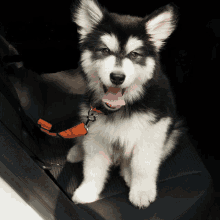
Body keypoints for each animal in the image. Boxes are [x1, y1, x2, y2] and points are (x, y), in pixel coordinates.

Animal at [67, 0, 182, 208]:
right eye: (105, 50)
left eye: (135, 54)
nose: (117, 77)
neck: (123, 107)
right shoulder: (96, 133)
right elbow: (93, 167)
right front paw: (87, 190)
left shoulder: (155, 130)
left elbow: (143, 165)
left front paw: (142, 191)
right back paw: (77, 151)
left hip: (173, 133)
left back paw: (128, 172)